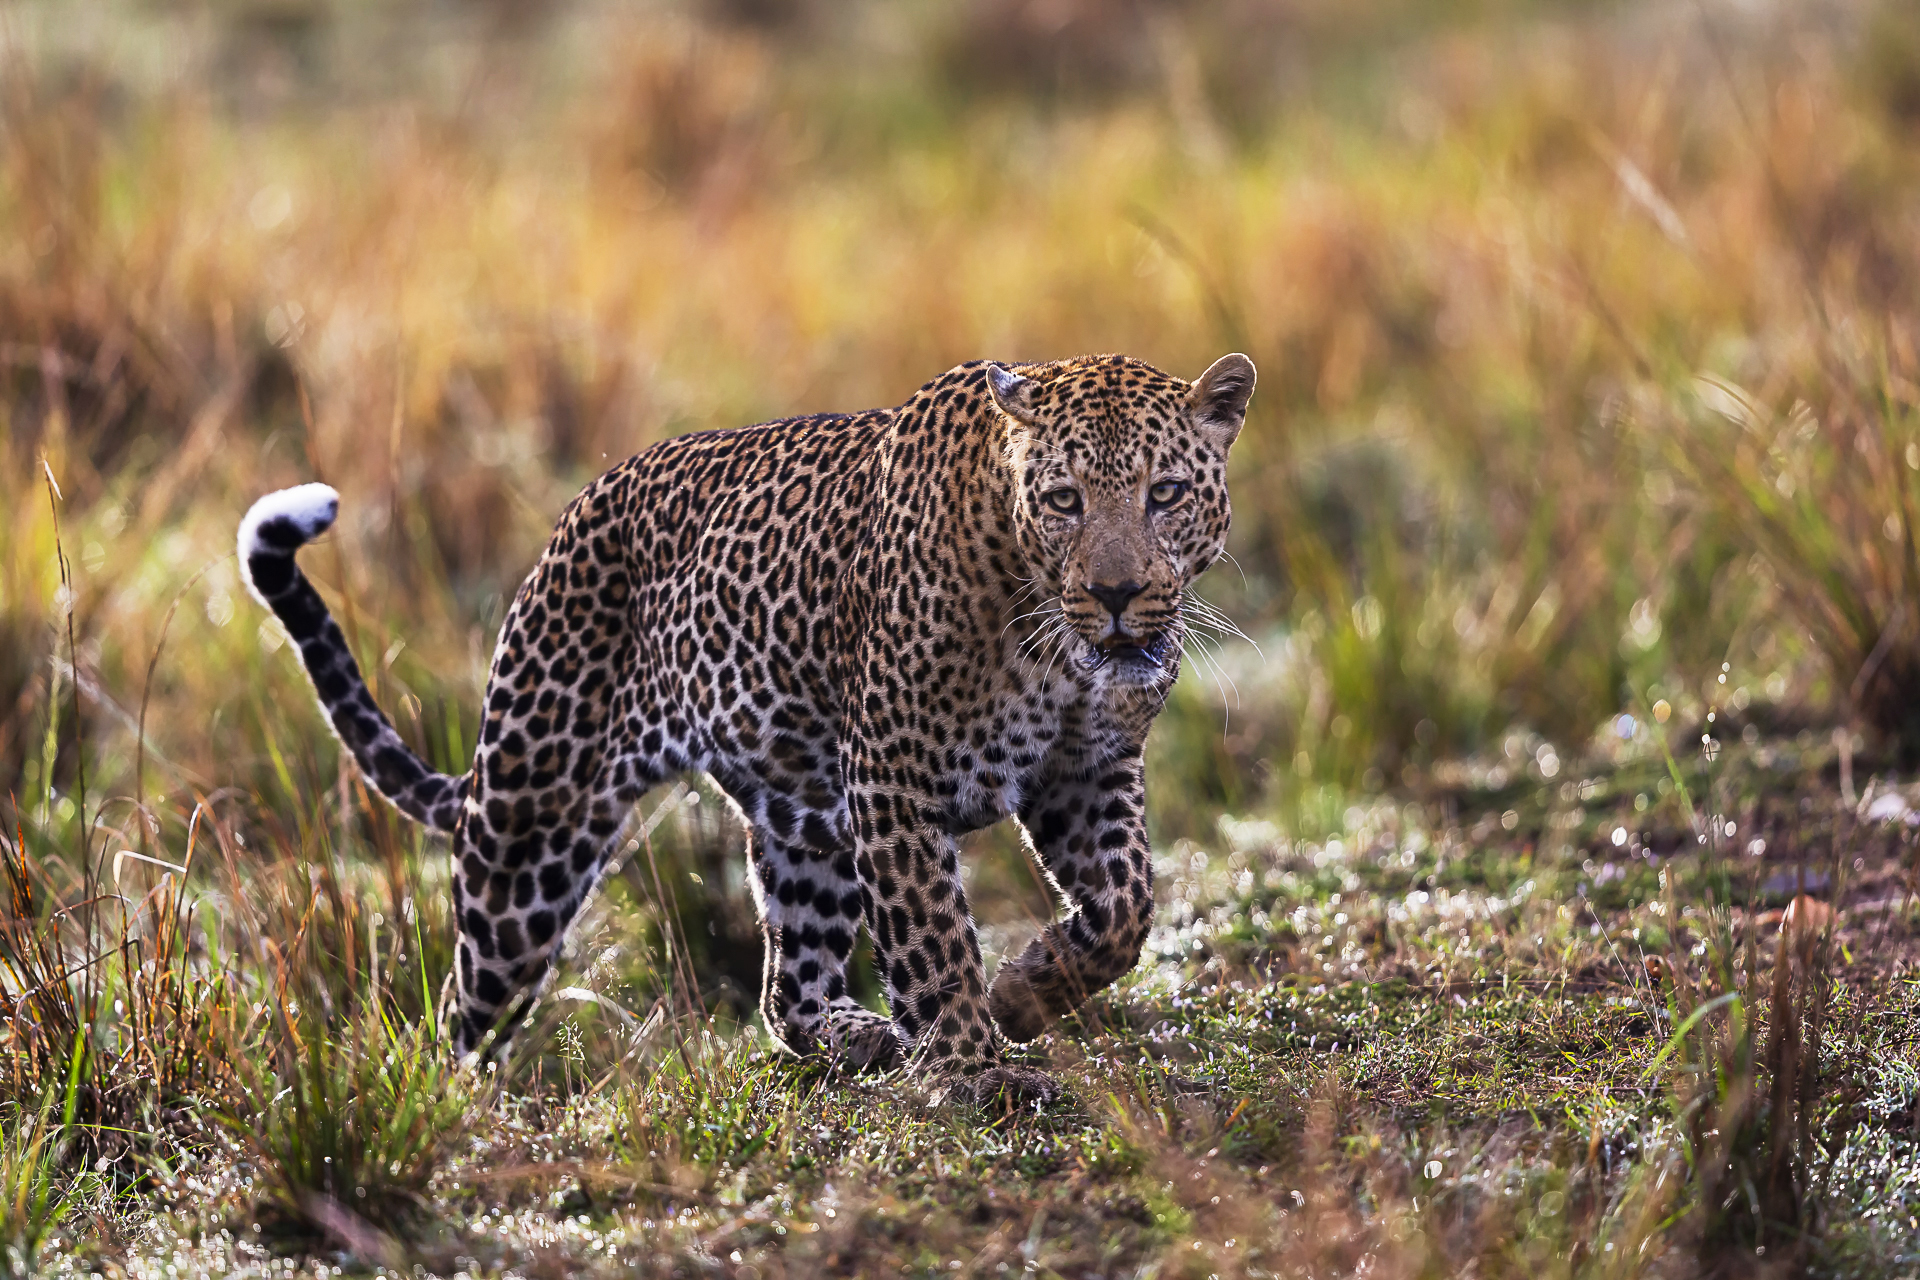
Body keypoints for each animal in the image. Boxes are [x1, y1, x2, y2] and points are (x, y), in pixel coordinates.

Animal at [238, 351, 1256, 1105]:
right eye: (1063, 500)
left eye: (1166, 493)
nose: (1118, 594)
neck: (1048, 635)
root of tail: (563, 530)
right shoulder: (895, 782)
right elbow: (933, 939)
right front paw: (973, 1069)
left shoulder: (1088, 772)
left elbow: (1126, 910)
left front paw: (1023, 993)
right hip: (529, 839)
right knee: (460, 1015)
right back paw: (460, 1111)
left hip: (804, 826)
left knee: (786, 990)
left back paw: (861, 1036)